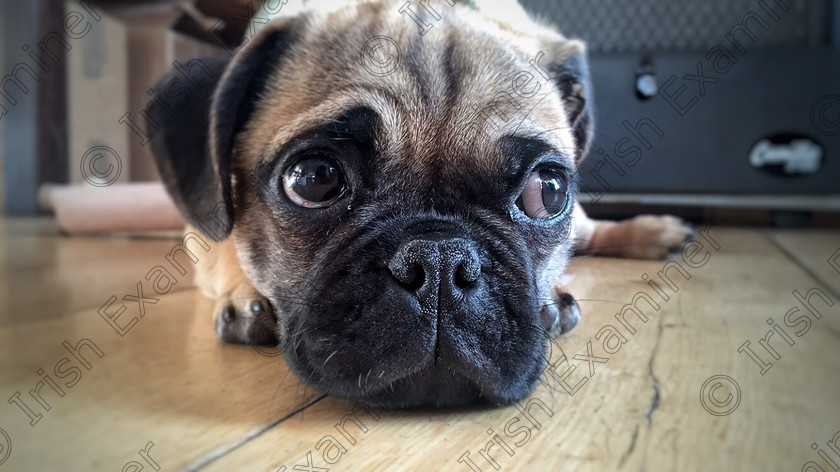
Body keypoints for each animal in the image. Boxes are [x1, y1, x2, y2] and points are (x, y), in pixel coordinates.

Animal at [151, 0, 688, 408]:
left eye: (548, 191)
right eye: (314, 180)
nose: (439, 259)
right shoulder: (201, 226)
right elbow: (225, 241)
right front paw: (244, 294)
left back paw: (653, 232)